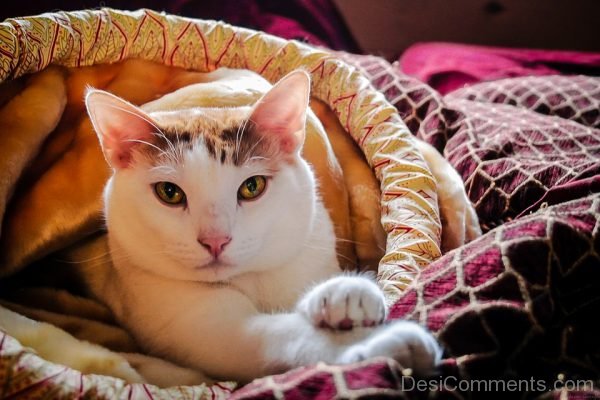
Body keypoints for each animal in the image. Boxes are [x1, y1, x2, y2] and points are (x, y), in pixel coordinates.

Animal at [84, 69, 440, 384]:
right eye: (169, 193)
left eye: (251, 187)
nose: (216, 240)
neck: (253, 279)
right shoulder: (216, 332)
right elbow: (284, 336)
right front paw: (383, 341)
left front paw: (347, 292)